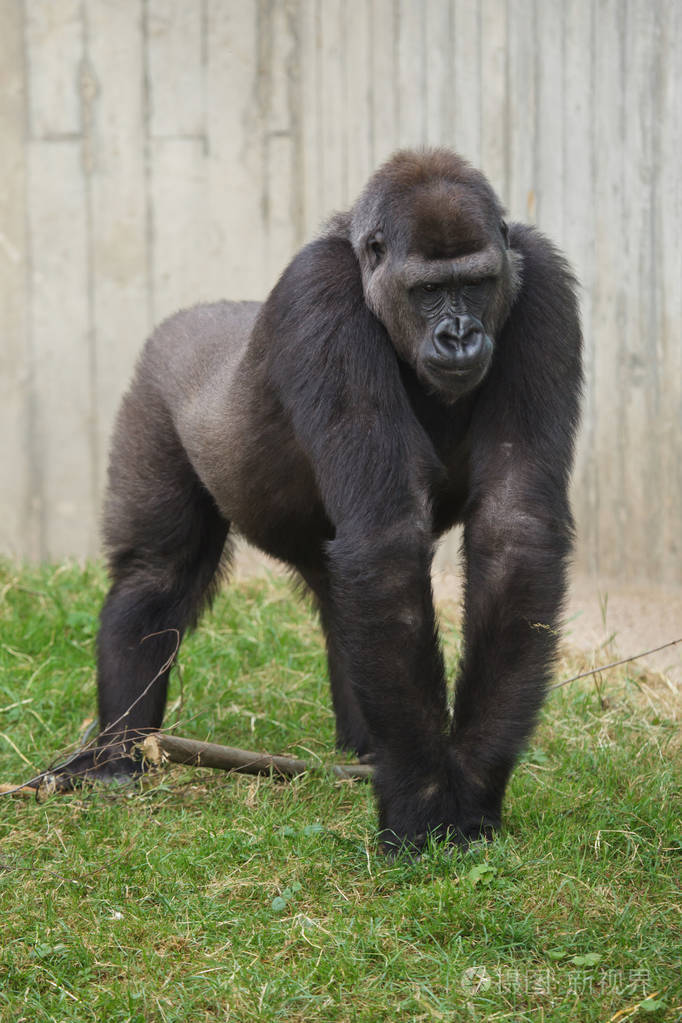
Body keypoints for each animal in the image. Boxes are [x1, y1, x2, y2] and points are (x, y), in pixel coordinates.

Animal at [49, 148, 580, 851]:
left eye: (477, 283)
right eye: (428, 291)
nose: (460, 336)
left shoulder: (542, 281)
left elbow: (514, 528)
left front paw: (473, 780)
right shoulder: (320, 295)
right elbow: (386, 537)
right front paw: (421, 798)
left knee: (343, 600)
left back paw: (362, 751)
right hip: (154, 387)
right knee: (154, 574)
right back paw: (118, 751)